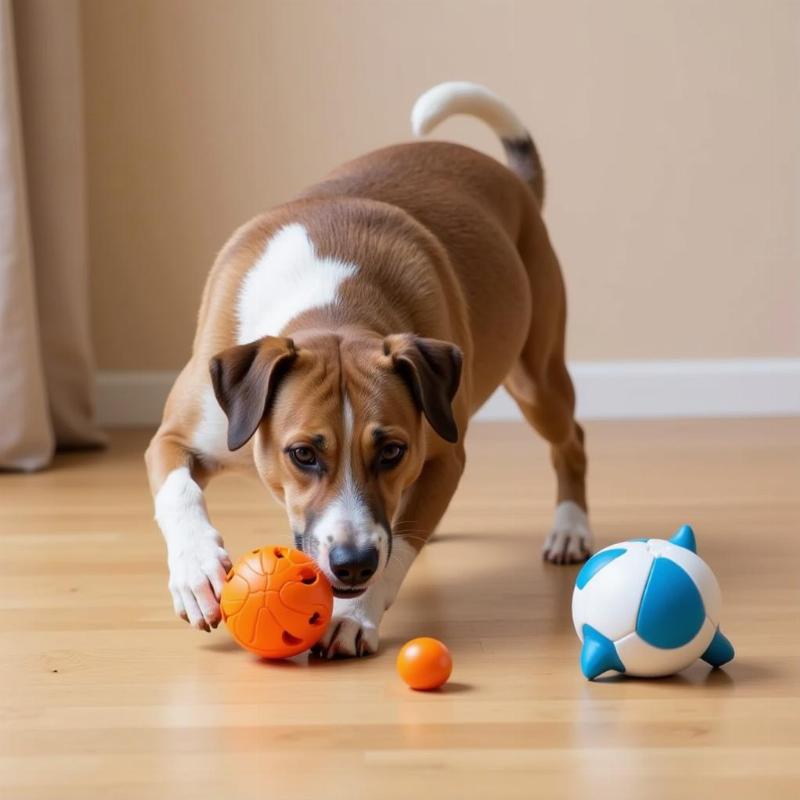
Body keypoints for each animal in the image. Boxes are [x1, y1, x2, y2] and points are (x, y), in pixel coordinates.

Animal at [144, 79, 592, 656]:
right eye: (303, 454)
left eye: (392, 451)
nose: (352, 564)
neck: (330, 304)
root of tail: (515, 182)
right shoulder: (180, 435)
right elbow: (178, 488)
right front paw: (196, 567)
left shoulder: (443, 456)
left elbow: (400, 544)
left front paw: (355, 615)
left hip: (536, 381)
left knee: (571, 439)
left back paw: (571, 528)